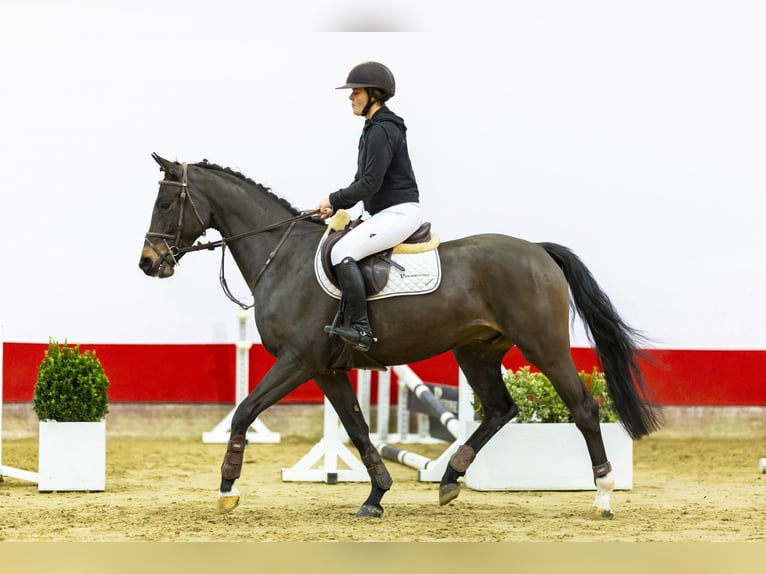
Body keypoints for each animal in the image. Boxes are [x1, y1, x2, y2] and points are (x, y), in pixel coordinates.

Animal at [140, 153, 664, 520]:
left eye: (165, 203)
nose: (148, 263)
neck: (283, 257)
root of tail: (537, 250)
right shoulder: (327, 369)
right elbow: (356, 428)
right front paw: (376, 495)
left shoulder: (297, 361)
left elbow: (245, 411)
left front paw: (227, 490)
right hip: (475, 351)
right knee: (500, 409)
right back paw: (450, 479)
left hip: (544, 345)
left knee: (584, 408)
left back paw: (602, 496)